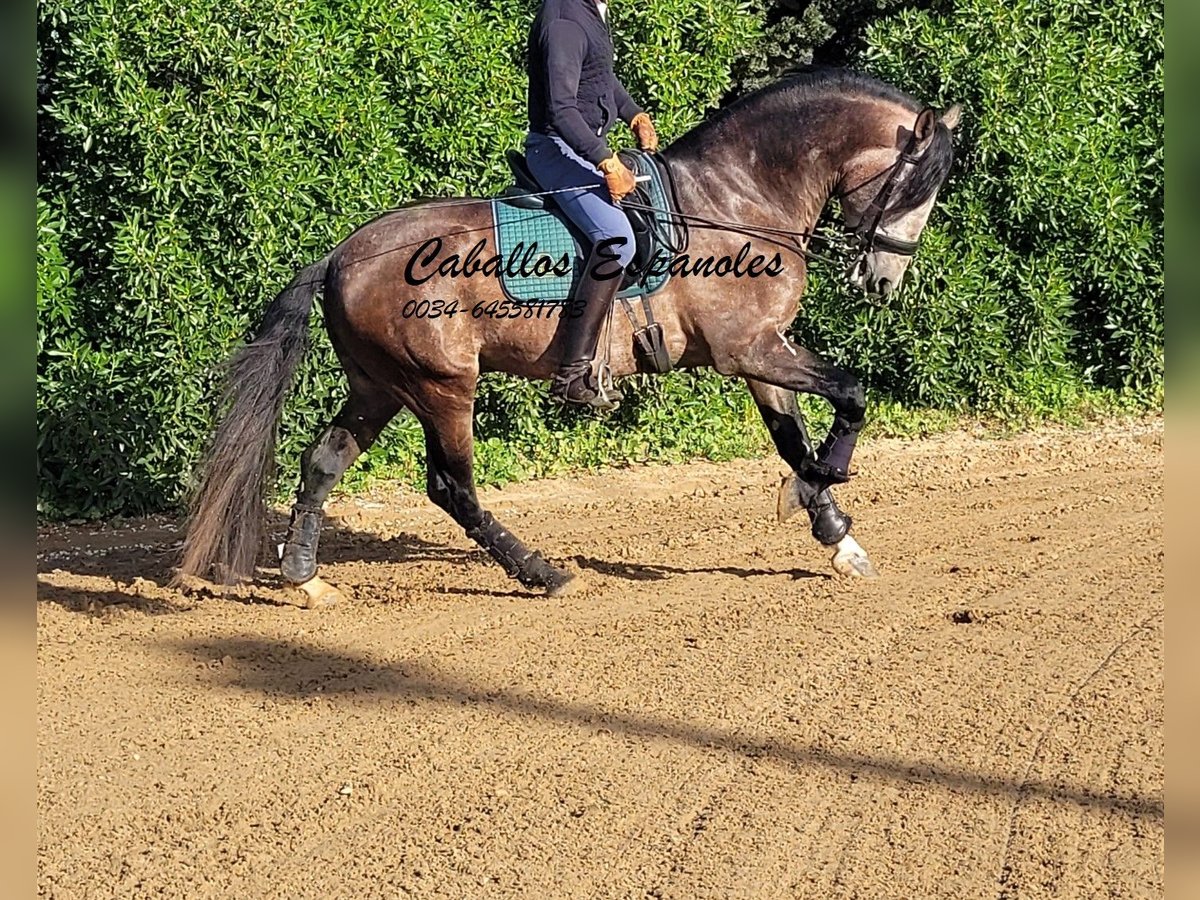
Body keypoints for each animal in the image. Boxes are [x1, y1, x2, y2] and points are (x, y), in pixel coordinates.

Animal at [177, 68, 960, 607]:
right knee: (451, 487)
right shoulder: (751, 348)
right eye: (917, 185)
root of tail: (341, 255)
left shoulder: (762, 349)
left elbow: (791, 435)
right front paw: (828, 480)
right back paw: (542, 573)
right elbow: (851, 394)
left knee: (324, 462)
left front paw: (835, 534)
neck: (738, 197)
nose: (882, 280)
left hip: (381, 385)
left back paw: (304, 578)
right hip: (442, 387)